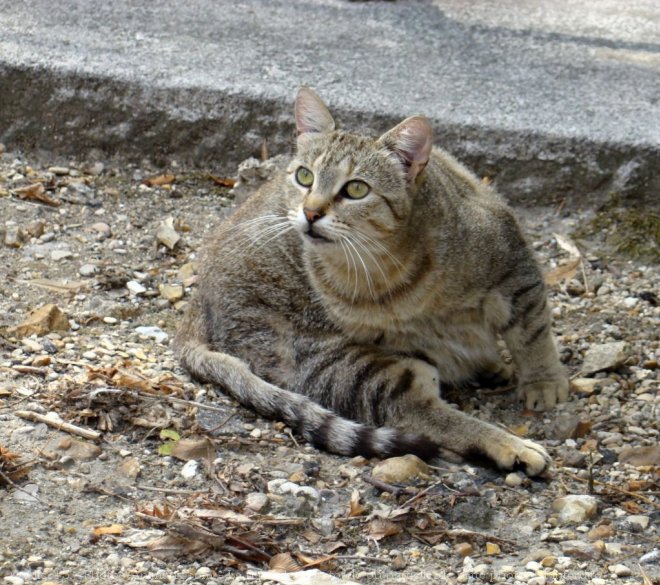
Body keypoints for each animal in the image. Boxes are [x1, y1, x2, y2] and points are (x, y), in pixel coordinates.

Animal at [175, 86, 568, 476]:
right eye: (305, 177)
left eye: (356, 189)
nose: (310, 212)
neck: (384, 267)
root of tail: (196, 303)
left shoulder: (513, 269)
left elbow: (533, 335)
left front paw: (544, 380)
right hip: (331, 363)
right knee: (417, 410)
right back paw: (505, 442)